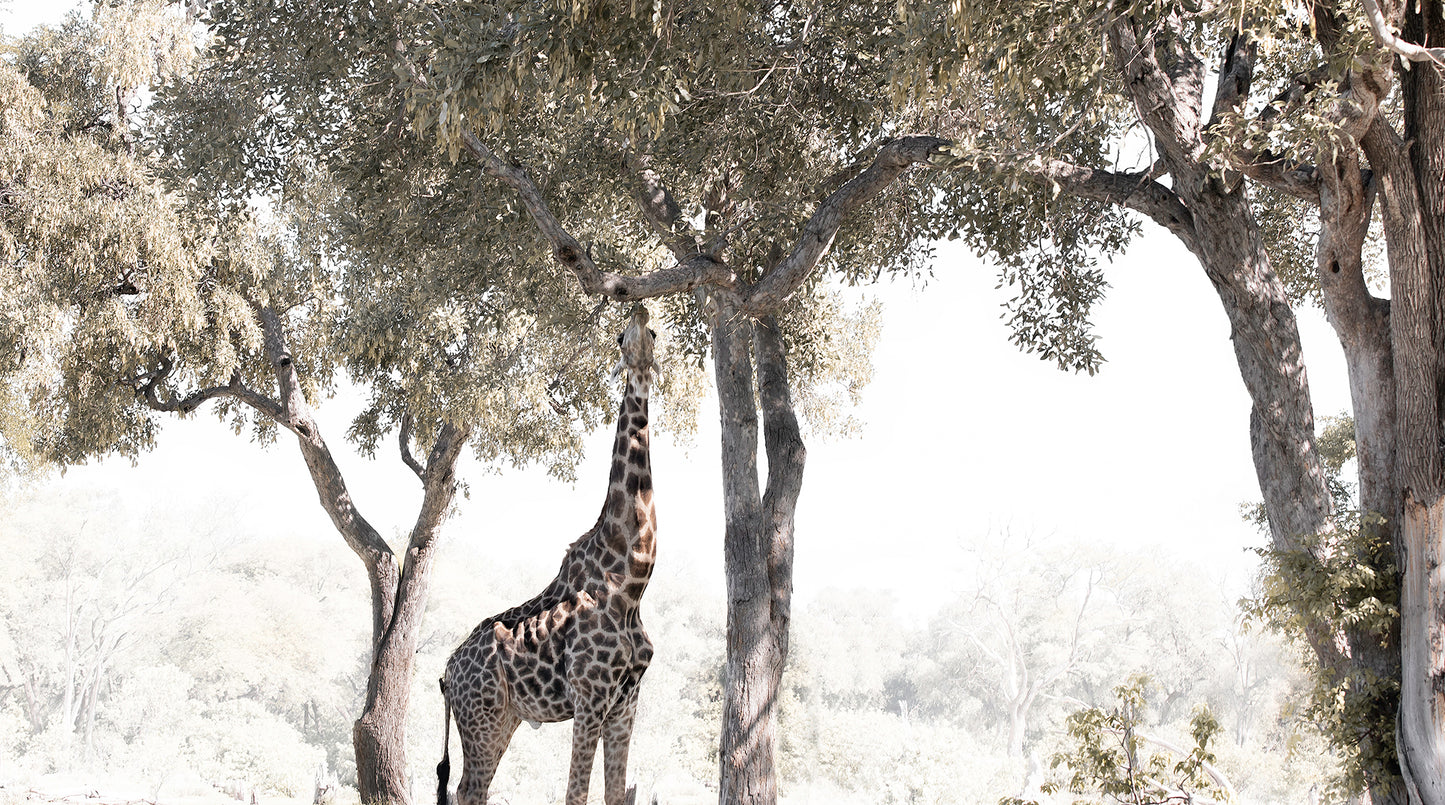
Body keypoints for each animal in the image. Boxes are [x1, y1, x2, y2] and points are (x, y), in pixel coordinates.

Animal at [439, 304, 661, 803]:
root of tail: (445, 673)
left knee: (466, 789)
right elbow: (575, 795)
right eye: (621, 338)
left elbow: (614, 794)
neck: (631, 580)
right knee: (469, 790)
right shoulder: (590, 697)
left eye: (653, 334)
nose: (640, 310)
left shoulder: (626, 703)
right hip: (481, 718)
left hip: (506, 719)